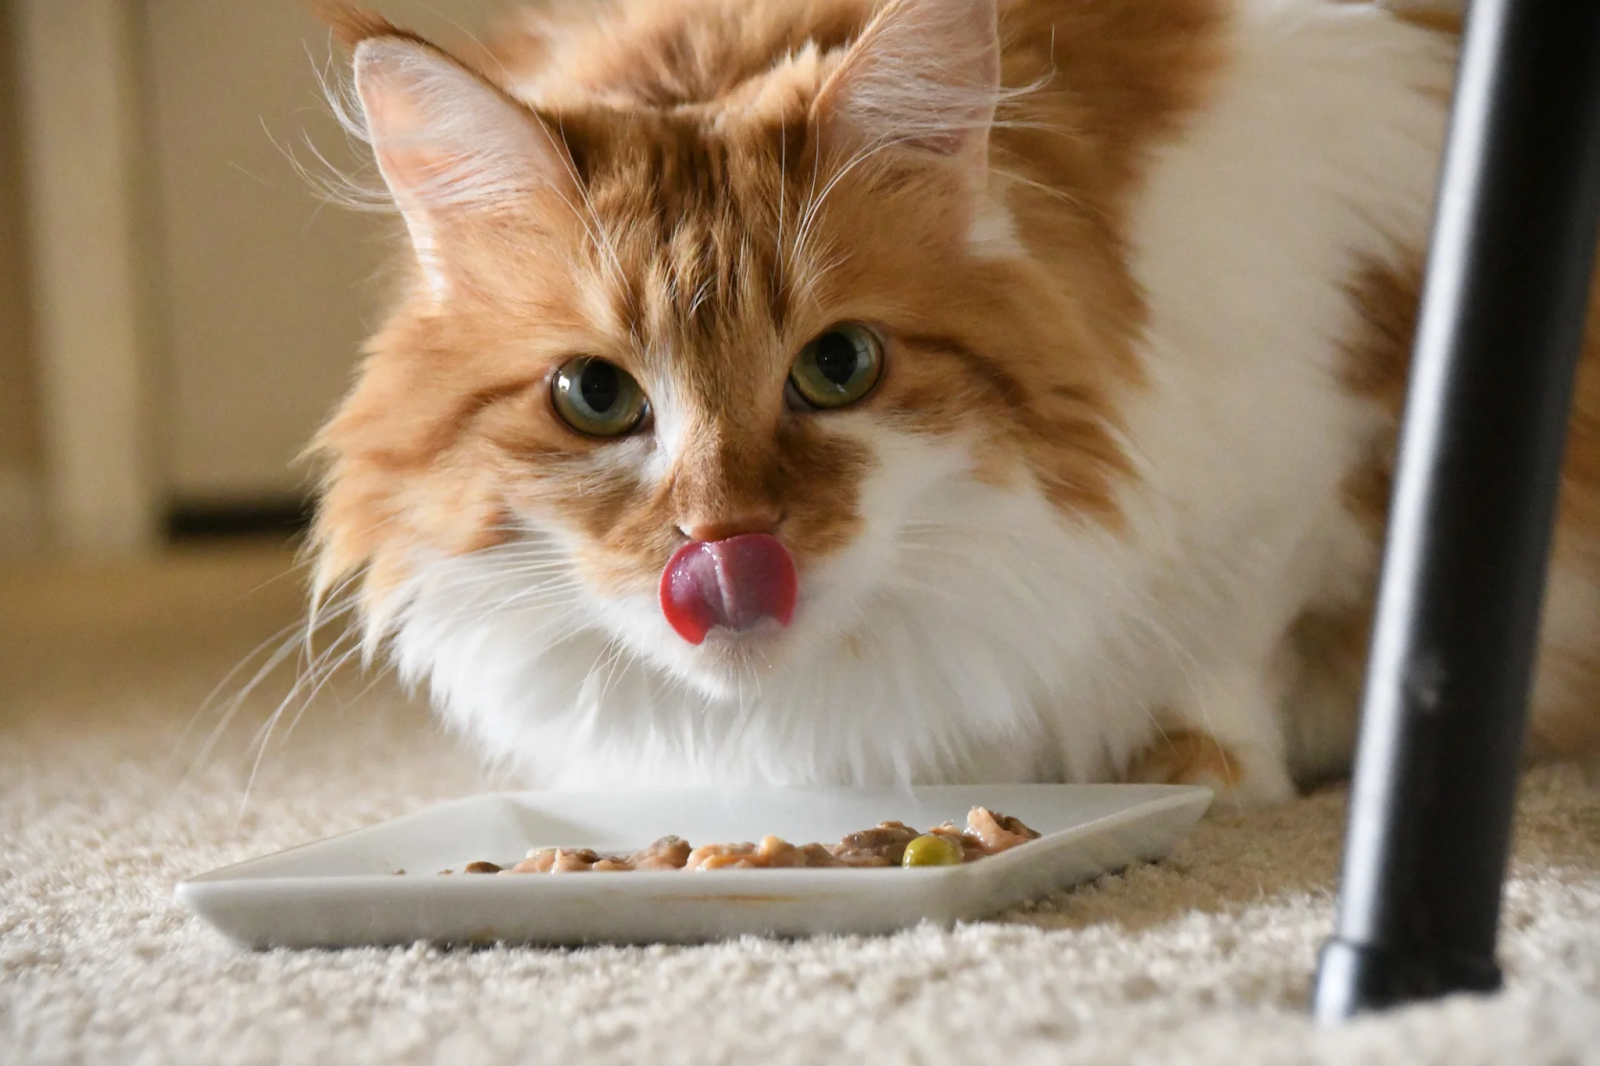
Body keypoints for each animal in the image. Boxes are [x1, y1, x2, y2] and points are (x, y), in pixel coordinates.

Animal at [308, 0, 1600, 797]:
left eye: (838, 367)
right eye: (594, 394)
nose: (727, 543)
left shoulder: (1315, 425)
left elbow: (1234, 638)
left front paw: (1202, 770)